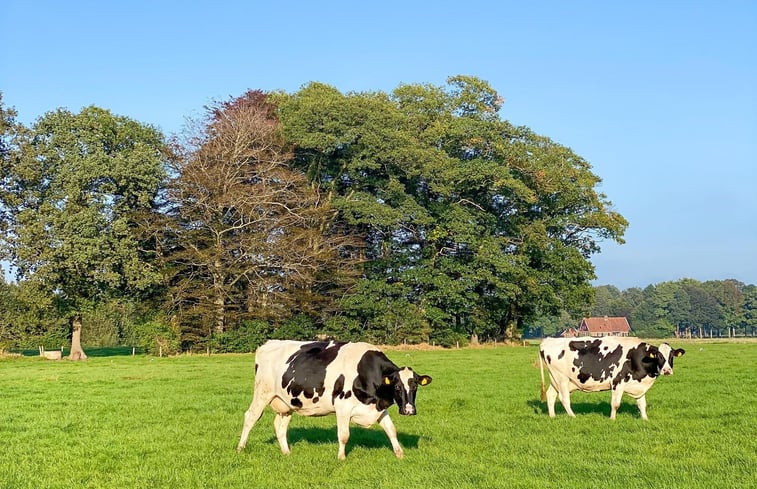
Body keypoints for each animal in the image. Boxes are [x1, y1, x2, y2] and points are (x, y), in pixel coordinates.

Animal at [236, 340, 432, 458]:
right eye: (397, 386)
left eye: (415, 386)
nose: (409, 410)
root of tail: (269, 343)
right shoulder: (343, 407)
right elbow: (344, 435)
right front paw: (341, 457)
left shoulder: (377, 407)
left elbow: (391, 430)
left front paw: (399, 454)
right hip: (263, 392)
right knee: (250, 417)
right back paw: (240, 448)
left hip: (287, 402)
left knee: (280, 425)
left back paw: (286, 452)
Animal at [536, 336, 684, 420]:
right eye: (658, 356)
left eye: (671, 356)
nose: (667, 370)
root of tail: (548, 340)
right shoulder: (617, 383)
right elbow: (615, 404)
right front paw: (612, 419)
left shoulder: (639, 386)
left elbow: (642, 404)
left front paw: (645, 419)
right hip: (562, 378)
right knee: (564, 398)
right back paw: (573, 416)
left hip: (555, 379)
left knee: (550, 395)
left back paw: (552, 416)